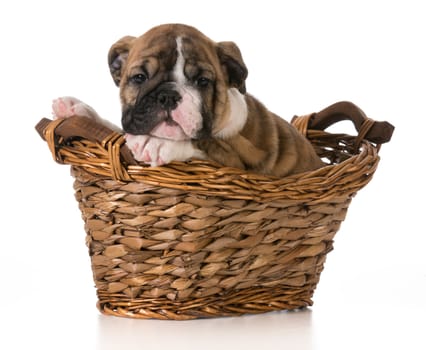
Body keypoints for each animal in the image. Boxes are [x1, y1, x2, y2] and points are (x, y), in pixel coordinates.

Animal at [52, 22, 322, 175]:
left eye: (202, 81)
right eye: (139, 77)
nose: (168, 95)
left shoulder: (238, 161)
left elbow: (202, 144)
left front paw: (155, 143)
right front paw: (77, 109)